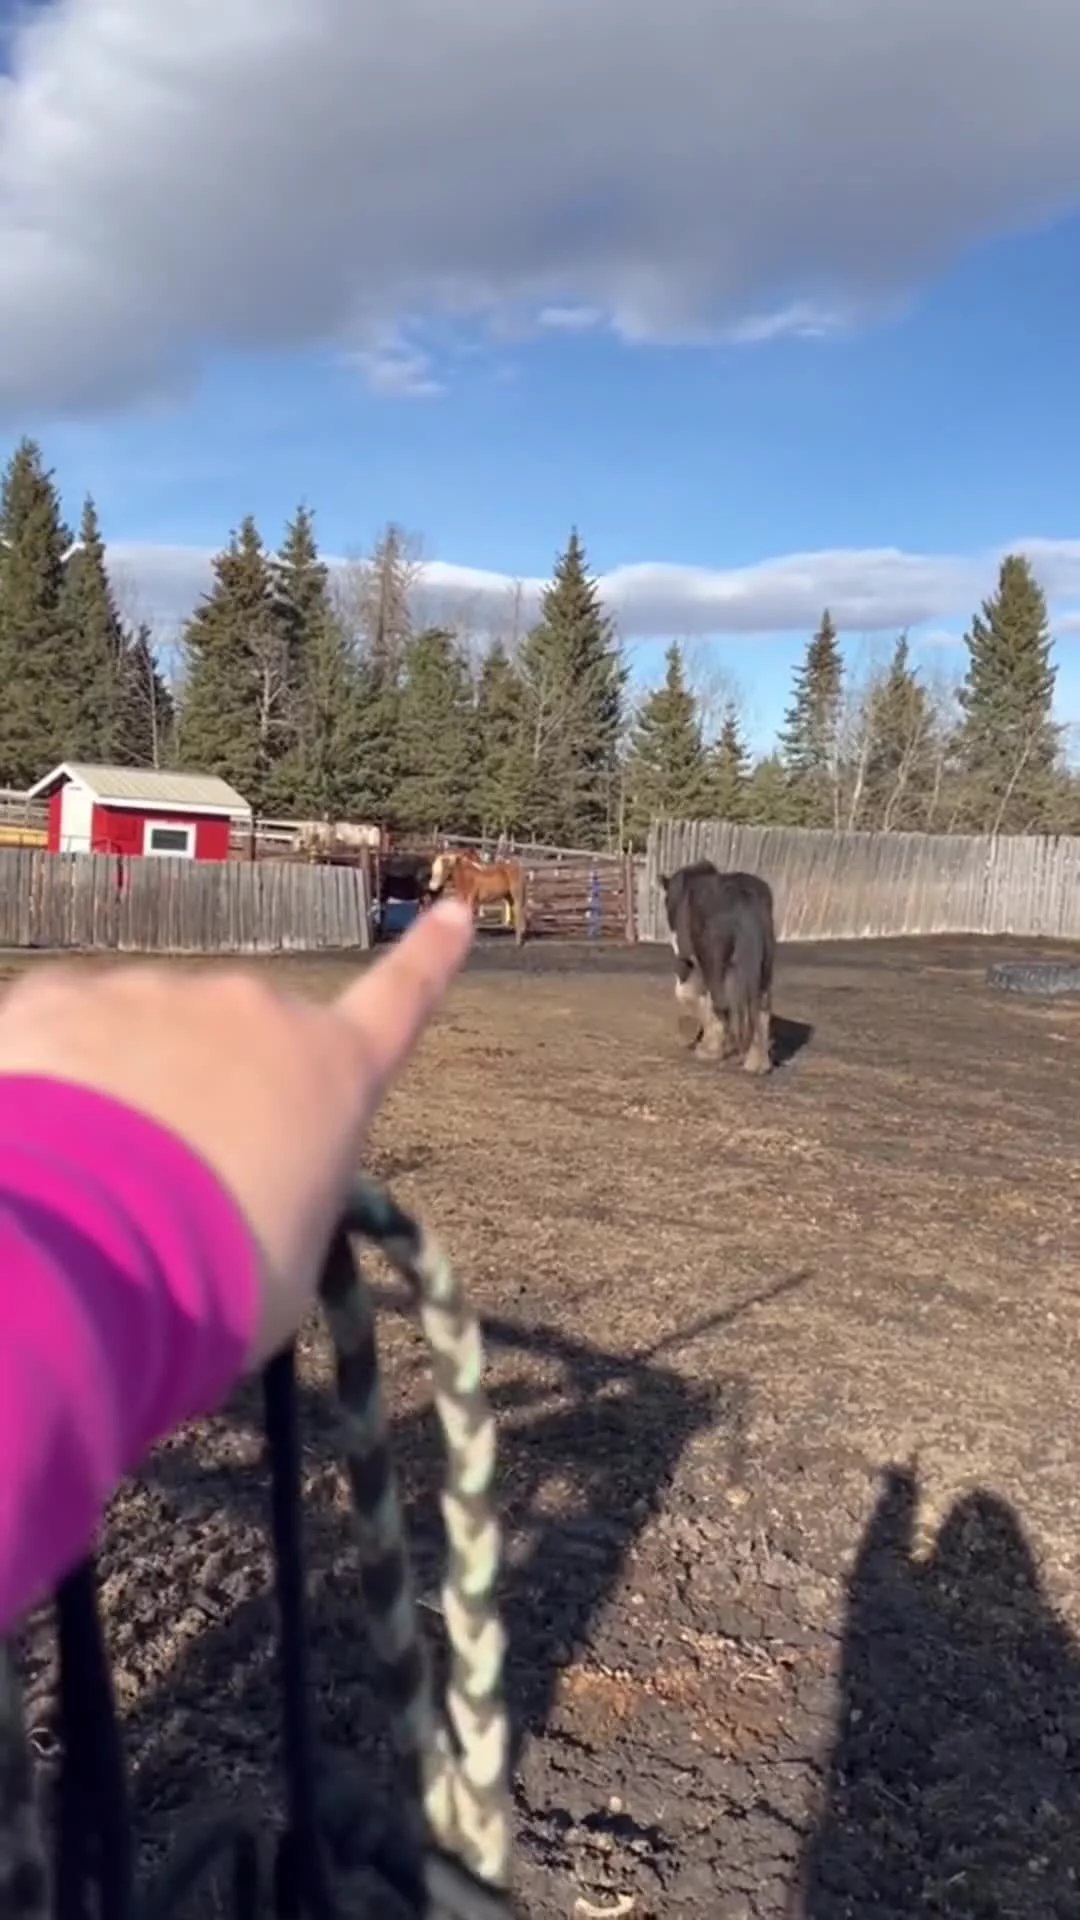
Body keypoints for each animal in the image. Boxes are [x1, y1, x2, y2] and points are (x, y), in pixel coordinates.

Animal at [661, 860, 775, 1075]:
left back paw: (712, 1052)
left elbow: (690, 995)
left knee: (722, 1003)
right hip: (764, 966)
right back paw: (758, 1063)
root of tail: (745, 900)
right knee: (761, 1007)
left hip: (714, 964)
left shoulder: (688, 959)